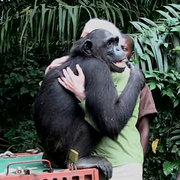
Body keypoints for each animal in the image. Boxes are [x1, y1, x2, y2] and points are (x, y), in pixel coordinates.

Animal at [33, 28, 146, 178]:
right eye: (109, 43)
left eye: (116, 42)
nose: (118, 49)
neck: (90, 56)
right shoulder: (98, 69)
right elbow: (111, 118)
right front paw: (138, 74)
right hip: (64, 151)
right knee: (92, 123)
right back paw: (81, 160)